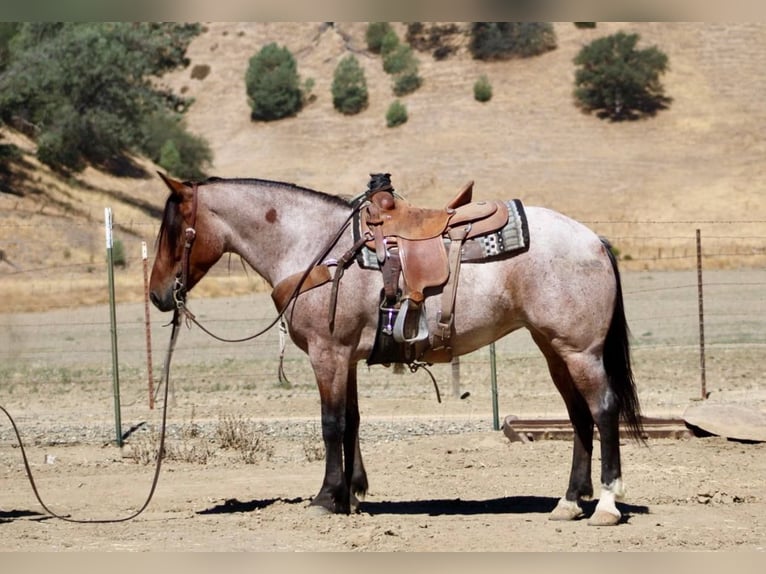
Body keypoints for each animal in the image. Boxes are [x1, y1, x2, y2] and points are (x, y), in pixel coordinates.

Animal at [149, 173, 644, 527]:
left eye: (173, 231)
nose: (157, 295)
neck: (314, 248)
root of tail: (594, 240)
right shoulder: (345, 357)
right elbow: (351, 422)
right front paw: (351, 495)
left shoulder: (327, 353)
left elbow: (331, 424)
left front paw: (326, 497)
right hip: (554, 349)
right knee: (578, 416)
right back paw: (568, 503)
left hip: (580, 351)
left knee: (602, 410)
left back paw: (606, 505)